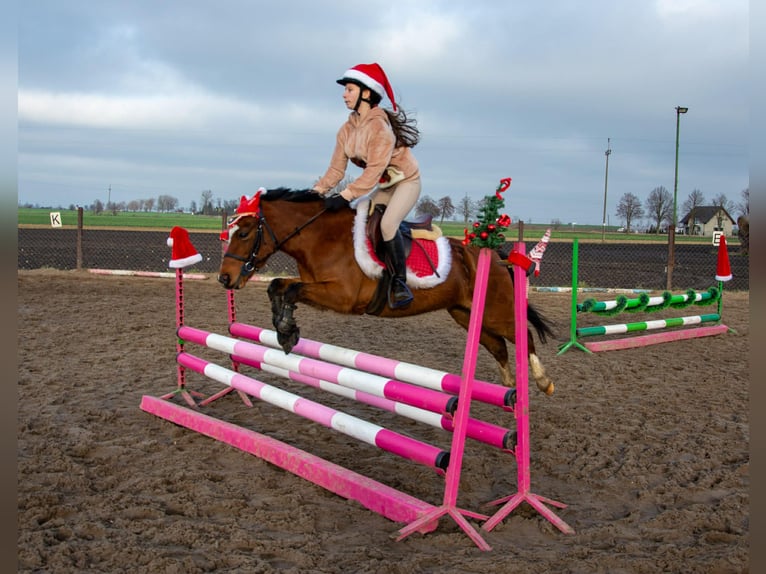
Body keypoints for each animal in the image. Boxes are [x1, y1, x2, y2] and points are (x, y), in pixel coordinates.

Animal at [217, 188, 556, 395]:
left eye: (244, 233)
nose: (225, 278)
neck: (322, 237)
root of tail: (495, 256)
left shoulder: (343, 296)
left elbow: (290, 291)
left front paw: (287, 330)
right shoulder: (318, 287)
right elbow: (279, 286)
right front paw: (284, 328)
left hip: (496, 311)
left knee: (523, 336)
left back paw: (542, 382)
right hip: (466, 313)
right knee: (498, 346)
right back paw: (508, 387)